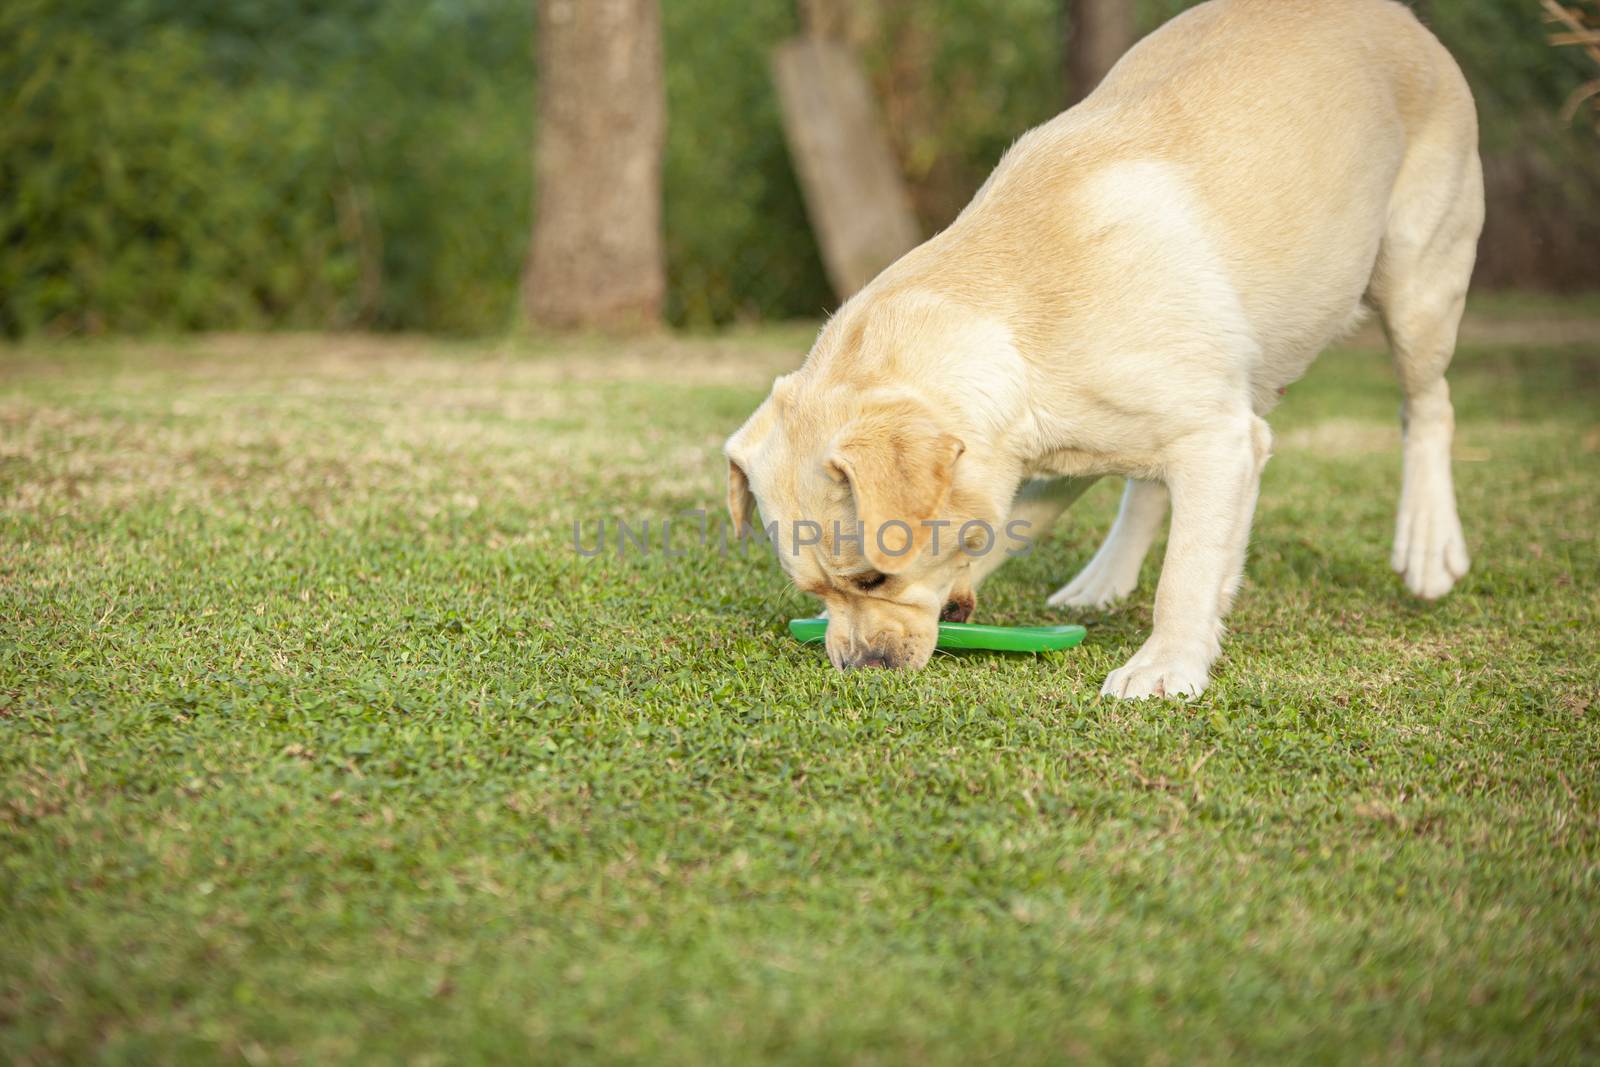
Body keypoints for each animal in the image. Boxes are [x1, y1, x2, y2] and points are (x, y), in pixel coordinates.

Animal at [723, 0, 1472, 700]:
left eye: (874, 577)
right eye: (815, 592)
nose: (861, 669)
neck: (1016, 325)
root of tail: (1396, 16)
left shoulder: (1220, 438)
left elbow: (1188, 568)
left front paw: (1166, 664)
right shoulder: (1050, 452)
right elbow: (1026, 518)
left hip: (1418, 285)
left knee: (1428, 406)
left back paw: (1428, 543)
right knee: (1147, 485)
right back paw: (1104, 578)